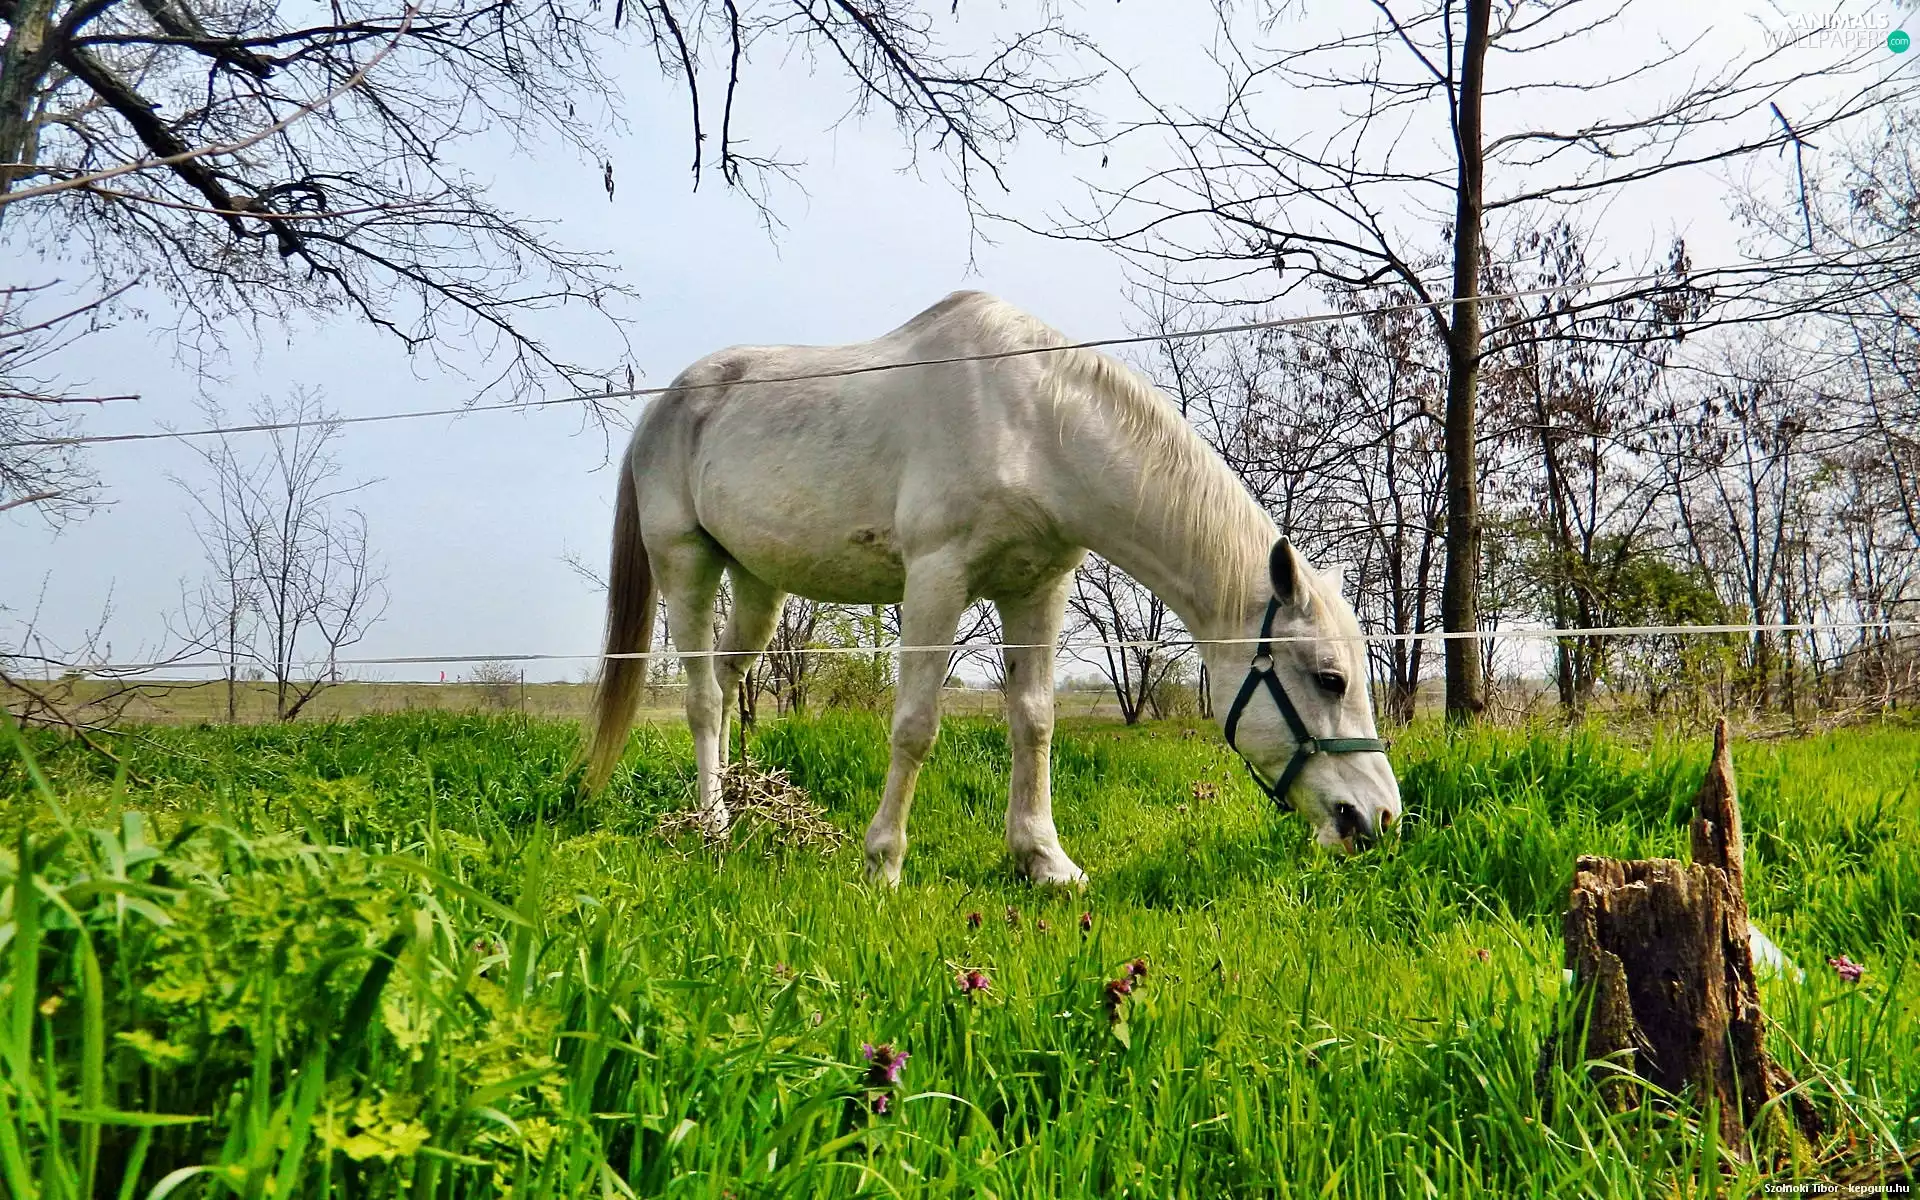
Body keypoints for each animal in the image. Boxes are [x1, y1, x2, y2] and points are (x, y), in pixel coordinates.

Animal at [580, 290, 1401, 885]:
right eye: (1330, 679)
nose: (1381, 817)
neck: (1035, 424)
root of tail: (665, 404)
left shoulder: (1036, 590)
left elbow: (1033, 722)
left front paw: (1044, 861)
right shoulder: (937, 580)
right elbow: (915, 726)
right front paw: (883, 863)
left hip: (758, 582)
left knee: (727, 681)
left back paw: (744, 804)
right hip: (687, 563)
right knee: (702, 697)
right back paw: (714, 825)